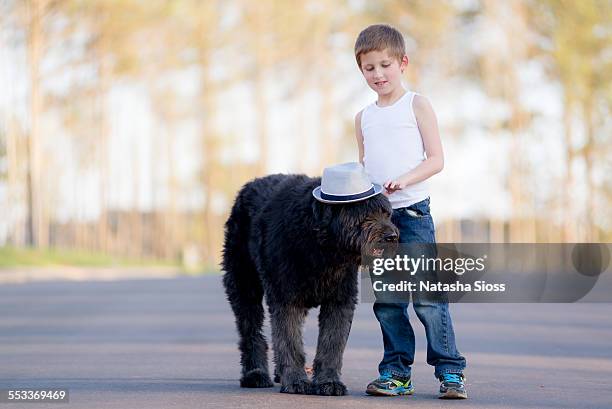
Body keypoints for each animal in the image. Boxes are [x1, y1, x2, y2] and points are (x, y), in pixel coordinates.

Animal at [222, 174, 400, 394]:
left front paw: (328, 382)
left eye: (387, 214)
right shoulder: (286, 299)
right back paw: (255, 374)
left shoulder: (340, 300)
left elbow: (331, 344)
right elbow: (290, 341)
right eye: (367, 214)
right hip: (244, 285)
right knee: (251, 331)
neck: (322, 247)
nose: (392, 236)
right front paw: (296, 381)